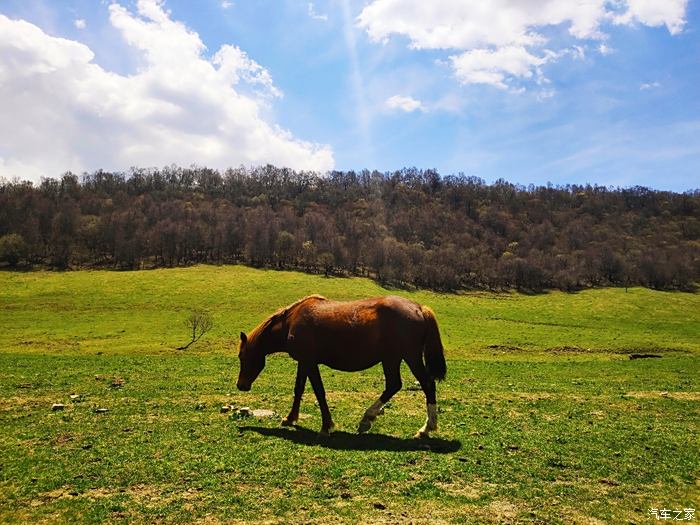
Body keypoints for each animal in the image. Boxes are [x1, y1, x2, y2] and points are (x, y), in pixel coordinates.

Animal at [234, 294, 442, 438]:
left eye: (242, 356)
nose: (241, 385)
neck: (290, 323)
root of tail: (419, 308)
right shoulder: (304, 362)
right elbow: (299, 389)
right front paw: (290, 418)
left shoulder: (310, 362)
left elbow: (319, 391)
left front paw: (326, 426)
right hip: (392, 359)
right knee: (394, 385)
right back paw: (367, 420)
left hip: (410, 357)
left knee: (427, 385)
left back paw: (425, 428)